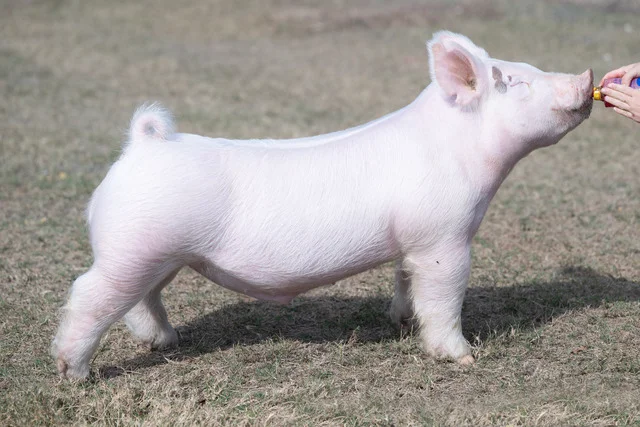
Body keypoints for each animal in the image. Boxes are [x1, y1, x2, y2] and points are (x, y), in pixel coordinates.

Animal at [51, 31, 593, 379]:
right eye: (514, 81)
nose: (587, 73)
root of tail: (143, 145)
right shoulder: (443, 236)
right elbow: (444, 293)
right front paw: (464, 358)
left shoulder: (411, 242)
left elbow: (405, 279)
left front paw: (400, 323)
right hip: (133, 248)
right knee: (88, 293)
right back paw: (74, 374)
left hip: (160, 253)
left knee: (142, 298)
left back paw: (167, 342)